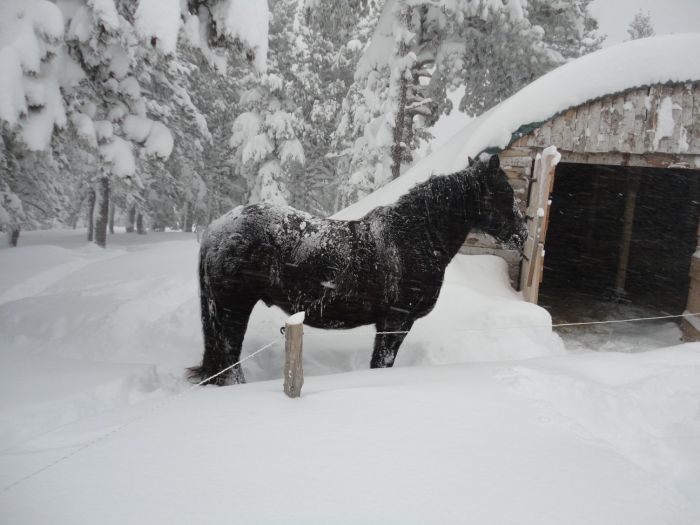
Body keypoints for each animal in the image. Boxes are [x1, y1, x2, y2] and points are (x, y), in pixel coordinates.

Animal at [189, 154, 528, 382]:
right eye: (505, 193)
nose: (522, 234)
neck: (414, 237)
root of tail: (218, 227)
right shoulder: (395, 322)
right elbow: (382, 363)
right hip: (233, 311)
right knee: (229, 362)